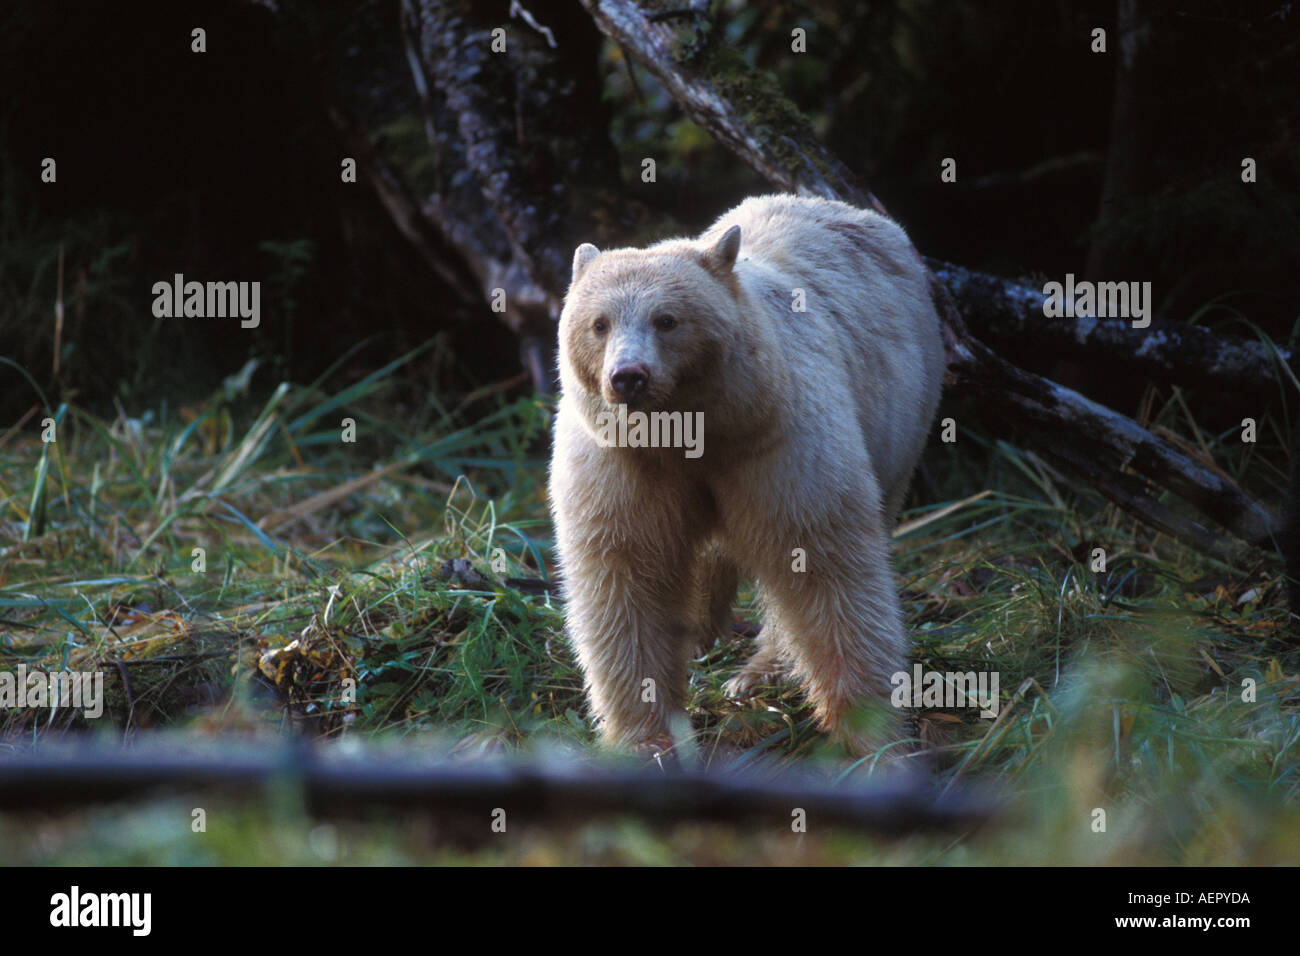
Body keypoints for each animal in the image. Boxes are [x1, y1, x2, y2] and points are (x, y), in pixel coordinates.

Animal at [548, 193, 946, 757]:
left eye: (667, 320)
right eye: (599, 323)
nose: (628, 377)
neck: (690, 430)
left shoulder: (778, 443)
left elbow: (822, 562)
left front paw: (870, 733)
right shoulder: (622, 464)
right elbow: (626, 577)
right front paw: (646, 738)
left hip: (903, 416)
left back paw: (761, 669)